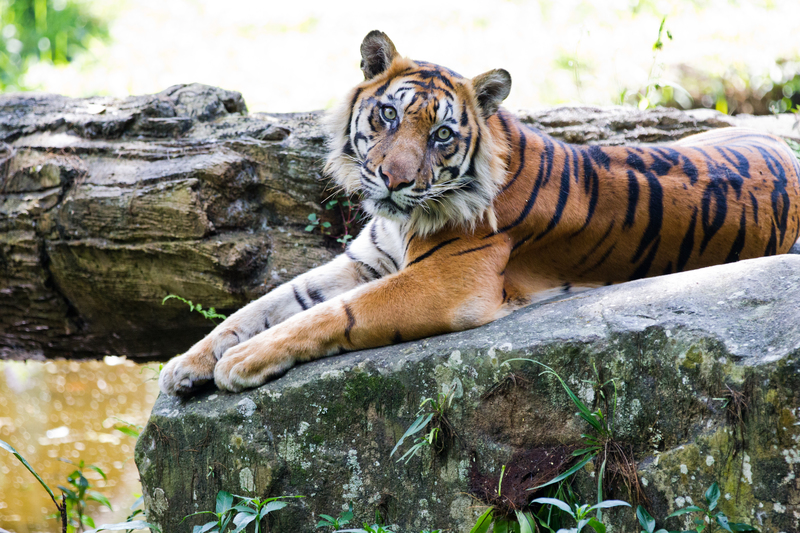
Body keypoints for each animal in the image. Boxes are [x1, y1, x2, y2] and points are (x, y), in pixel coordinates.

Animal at [158, 30, 800, 394]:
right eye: (389, 115)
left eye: (442, 134)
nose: (394, 180)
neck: (401, 218)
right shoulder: (368, 261)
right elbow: (268, 304)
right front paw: (185, 364)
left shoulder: (445, 282)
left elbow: (331, 314)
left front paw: (241, 362)